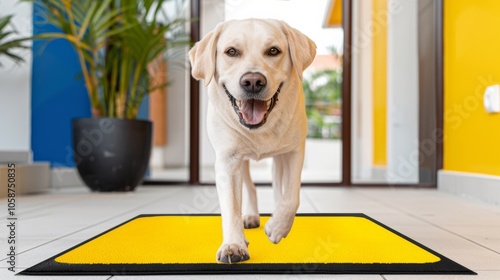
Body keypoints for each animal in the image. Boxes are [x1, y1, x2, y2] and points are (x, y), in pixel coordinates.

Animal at [188, 18, 316, 264]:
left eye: (273, 51)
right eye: (231, 51)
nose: (253, 81)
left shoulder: (294, 150)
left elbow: (291, 195)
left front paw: (277, 227)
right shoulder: (228, 160)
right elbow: (230, 206)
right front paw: (233, 245)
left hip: (279, 158)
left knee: (278, 187)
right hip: (243, 162)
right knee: (250, 187)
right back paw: (250, 216)